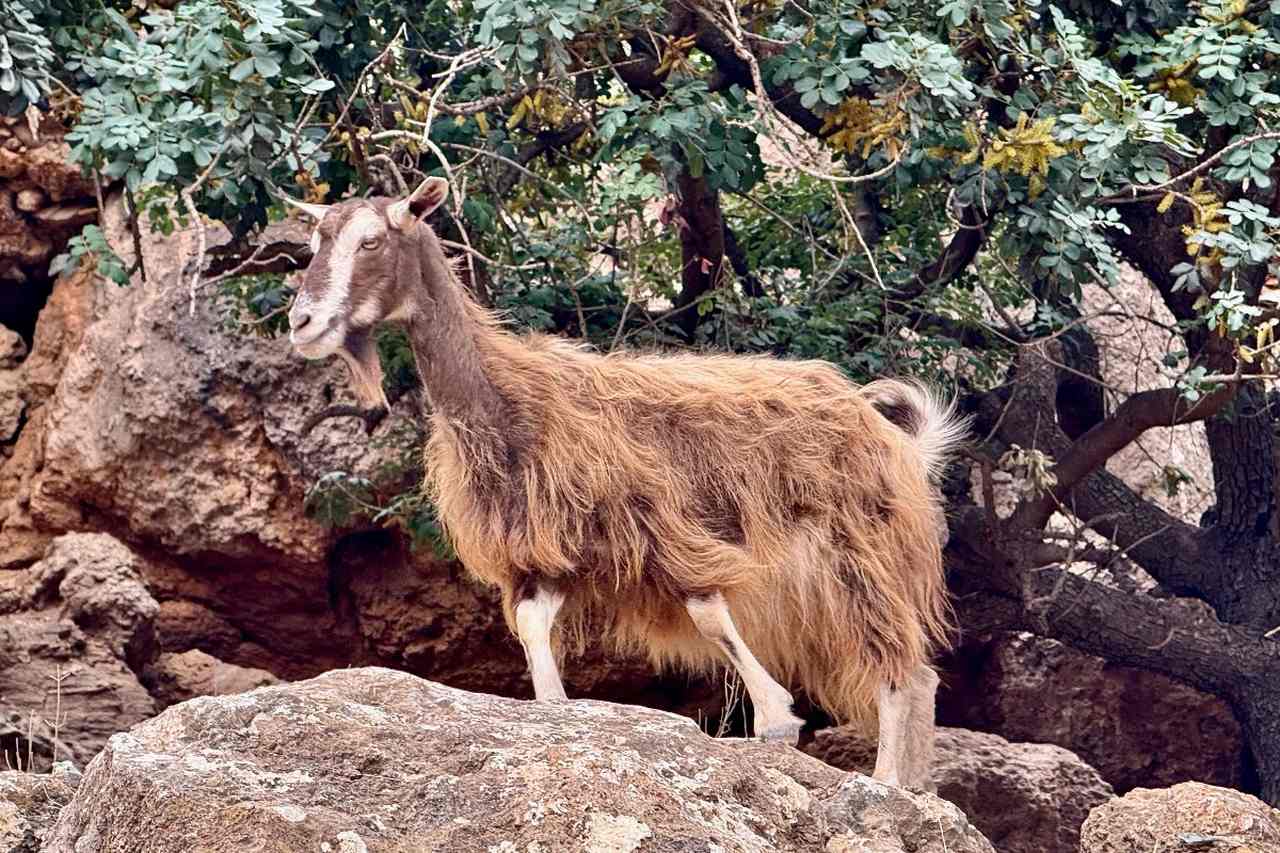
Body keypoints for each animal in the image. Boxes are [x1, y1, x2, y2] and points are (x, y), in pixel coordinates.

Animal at [283, 177, 968, 788]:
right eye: (315, 241)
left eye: (372, 241)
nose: (303, 322)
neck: (509, 396)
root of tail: (900, 441)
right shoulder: (549, 550)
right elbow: (533, 625)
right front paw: (556, 710)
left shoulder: (661, 524)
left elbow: (708, 611)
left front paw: (776, 720)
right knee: (915, 672)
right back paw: (915, 786)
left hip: (859, 555)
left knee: (901, 669)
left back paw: (886, 783)